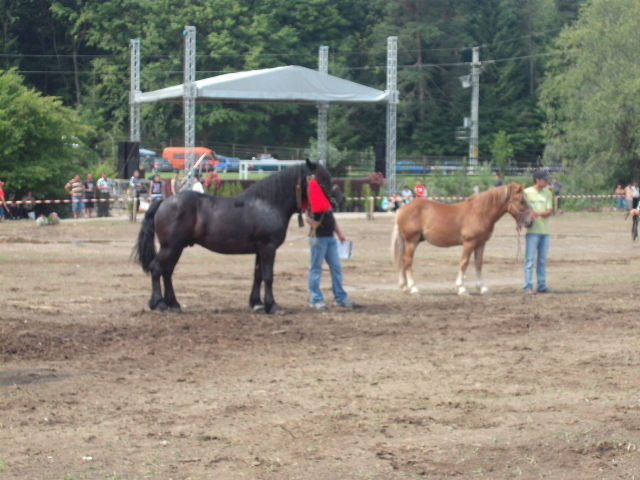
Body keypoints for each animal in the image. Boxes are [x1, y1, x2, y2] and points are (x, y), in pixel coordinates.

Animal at [131, 158, 340, 316]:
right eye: (323, 178)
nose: (338, 199)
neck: (268, 204)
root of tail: (163, 202)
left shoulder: (260, 249)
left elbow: (258, 275)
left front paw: (257, 303)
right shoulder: (268, 247)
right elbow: (268, 276)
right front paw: (273, 306)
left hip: (177, 247)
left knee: (167, 272)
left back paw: (173, 304)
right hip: (171, 247)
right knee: (157, 269)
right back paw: (159, 304)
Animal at [392, 183, 532, 294]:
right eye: (521, 201)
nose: (530, 221)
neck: (480, 213)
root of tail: (401, 209)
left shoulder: (481, 243)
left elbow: (478, 263)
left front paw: (482, 288)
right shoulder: (469, 243)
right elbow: (464, 262)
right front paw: (461, 288)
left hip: (409, 242)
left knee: (403, 261)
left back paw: (405, 287)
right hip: (411, 241)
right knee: (408, 261)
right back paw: (414, 288)